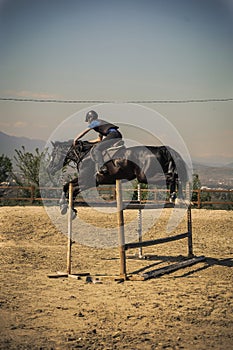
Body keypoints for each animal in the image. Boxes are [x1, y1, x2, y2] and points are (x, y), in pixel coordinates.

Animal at [46, 139, 188, 213]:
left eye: (53, 154)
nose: (49, 169)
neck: (83, 155)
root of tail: (161, 149)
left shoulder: (87, 180)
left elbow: (68, 187)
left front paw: (65, 207)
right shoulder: (88, 181)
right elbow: (70, 188)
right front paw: (67, 207)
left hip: (145, 176)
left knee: (173, 176)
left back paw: (175, 197)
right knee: (175, 176)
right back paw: (179, 198)